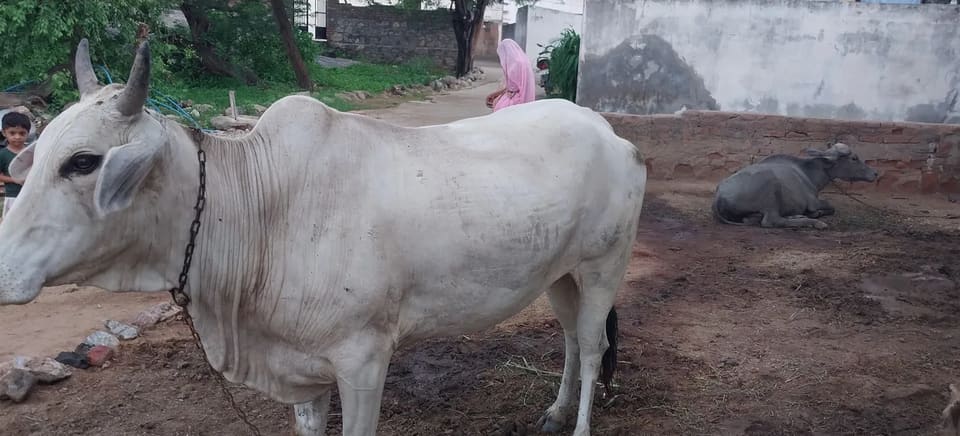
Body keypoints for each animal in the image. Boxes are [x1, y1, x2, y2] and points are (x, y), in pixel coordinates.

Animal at [0, 40, 647, 436]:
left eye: (84, 162)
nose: (4, 270)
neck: (258, 212)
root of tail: (611, 135)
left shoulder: (364, 359)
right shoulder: (303, 374)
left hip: (603, 267)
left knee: (593, 346)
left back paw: (579, 423)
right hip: (559, 273)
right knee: (570, 339)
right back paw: (554, 411)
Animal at [712, 143, 878, 229]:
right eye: (854, 158)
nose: (875, 173)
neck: (808, 173)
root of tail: (719, 195)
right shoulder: (813, 202)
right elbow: (831, 207)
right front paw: (816, 215)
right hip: (771, 193)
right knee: (771, 221)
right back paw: (814, 222)